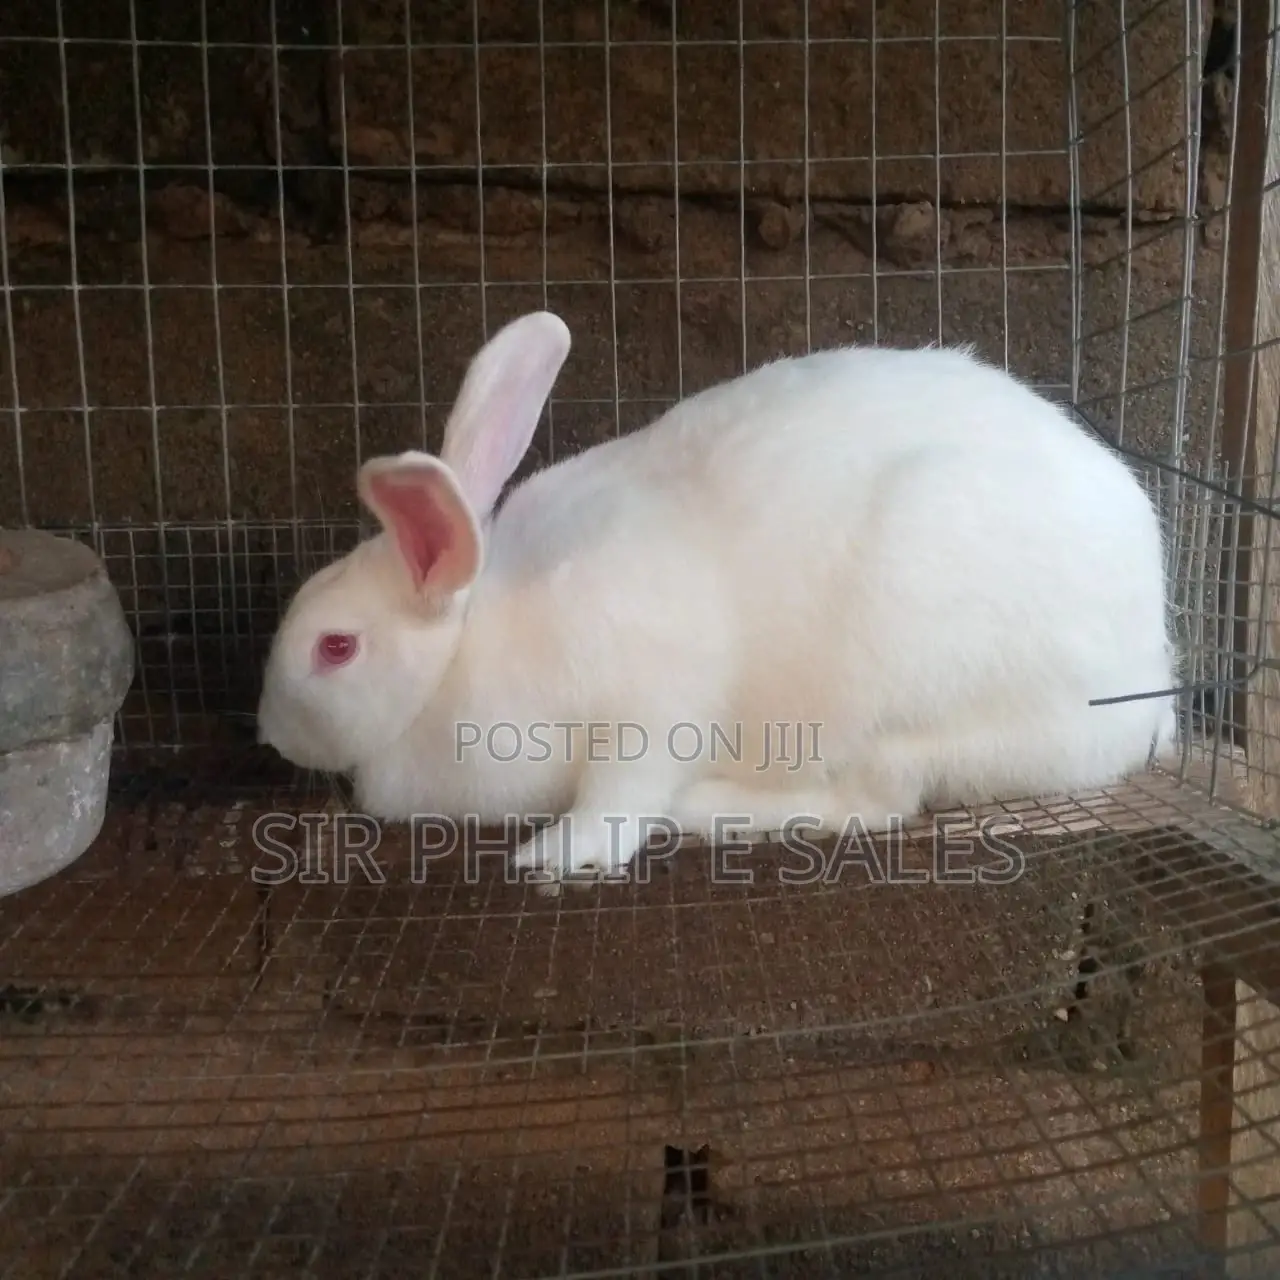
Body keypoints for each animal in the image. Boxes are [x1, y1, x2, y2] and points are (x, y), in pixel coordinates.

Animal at [256, 309, 1178, 889]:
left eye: (335, 648)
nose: (266, 732)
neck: (468, 649)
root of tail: (1151, 690)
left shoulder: (650, 700)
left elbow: (622, 789)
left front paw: (556, 855)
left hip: (917, 684)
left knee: (873, 802)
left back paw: (706, 808)